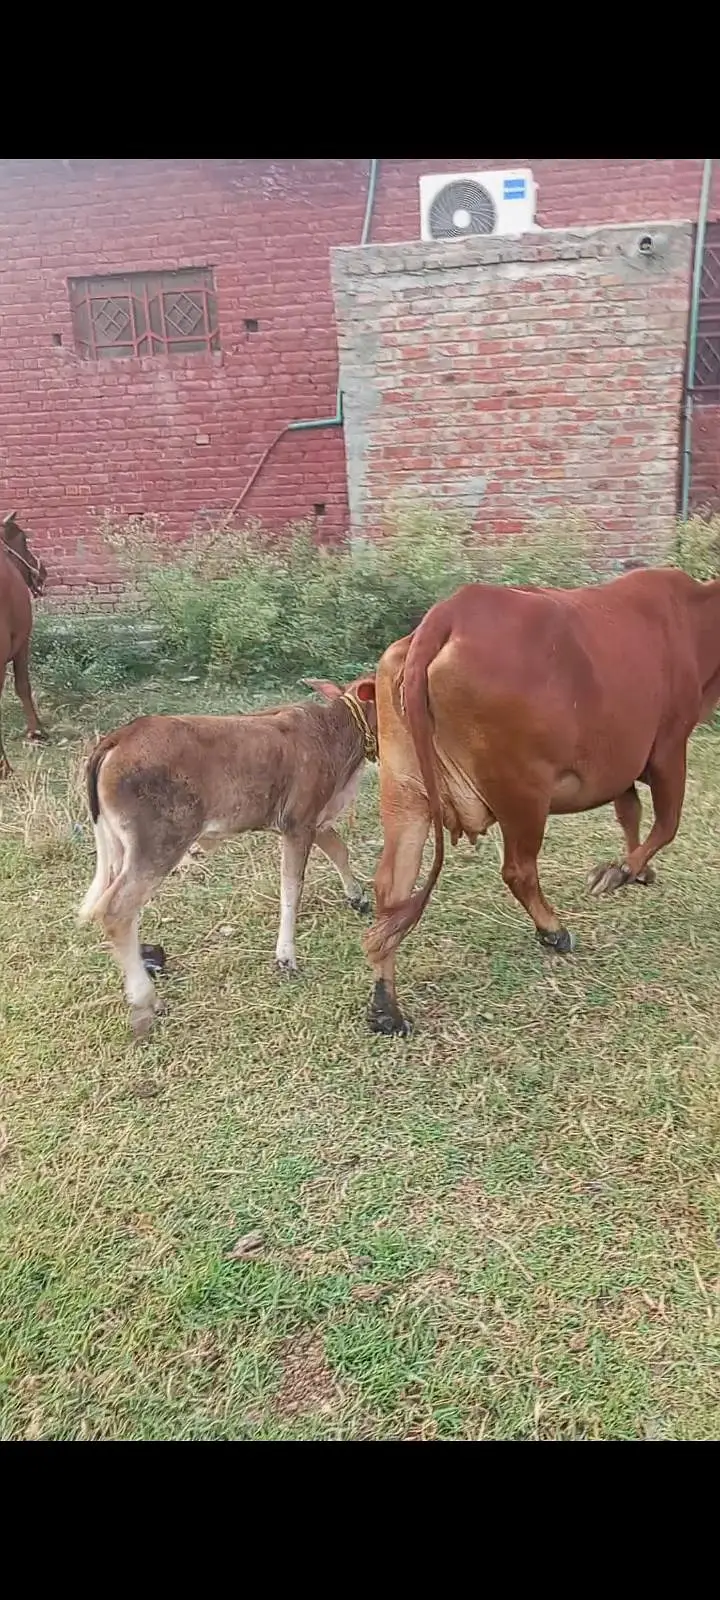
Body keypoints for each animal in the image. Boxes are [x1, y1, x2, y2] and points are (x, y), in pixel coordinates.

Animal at [78, 675, 377, 1036]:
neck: (333, 732)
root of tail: (121, 735)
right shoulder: (298, 823)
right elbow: (292, 888)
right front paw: (286, 957)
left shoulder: (314, 821)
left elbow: (340, 850)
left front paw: (358, 897)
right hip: (160, 843)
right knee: (116, 911)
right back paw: (146, 1004)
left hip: (123, 848)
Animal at [364, 567, 720, 1037]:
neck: (698, 615)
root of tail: (450, 612)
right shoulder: (667, 748)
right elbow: (667, 824)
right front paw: (622, 872)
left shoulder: (619, 766)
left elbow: (630, 813)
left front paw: (636, 870)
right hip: (524, 792)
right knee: (518, 870)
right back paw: (553, 929)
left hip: (406, 794)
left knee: (392, 890)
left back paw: (385, 1006)